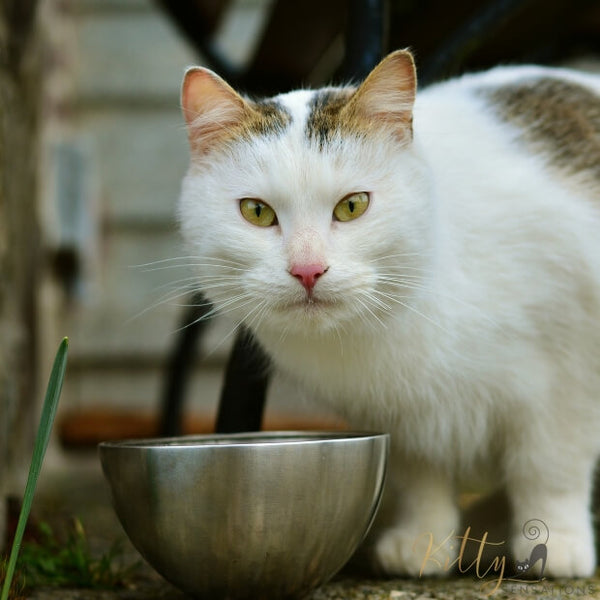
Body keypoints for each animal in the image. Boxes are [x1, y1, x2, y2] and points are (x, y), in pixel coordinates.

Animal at [177, 50, 600, 576]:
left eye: (353, 206)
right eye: (256, 212)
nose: (308, 270)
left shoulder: (569, 371)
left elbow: (550, 466)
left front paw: (555, 541)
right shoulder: (398, 413)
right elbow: (421, 477)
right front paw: (423, 541)